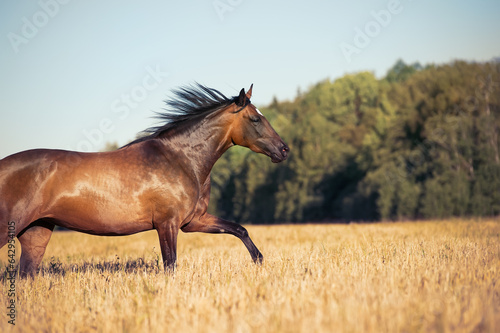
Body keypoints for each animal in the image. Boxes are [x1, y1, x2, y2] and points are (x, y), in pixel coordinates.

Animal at [0, 84, 290, 276]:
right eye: (255, 118)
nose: (284, 149)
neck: (181, 159)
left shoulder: (193, 221)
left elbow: (240, 229)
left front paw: (259, 261)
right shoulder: (167, 224)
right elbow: (170, 266)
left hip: (36, 233)